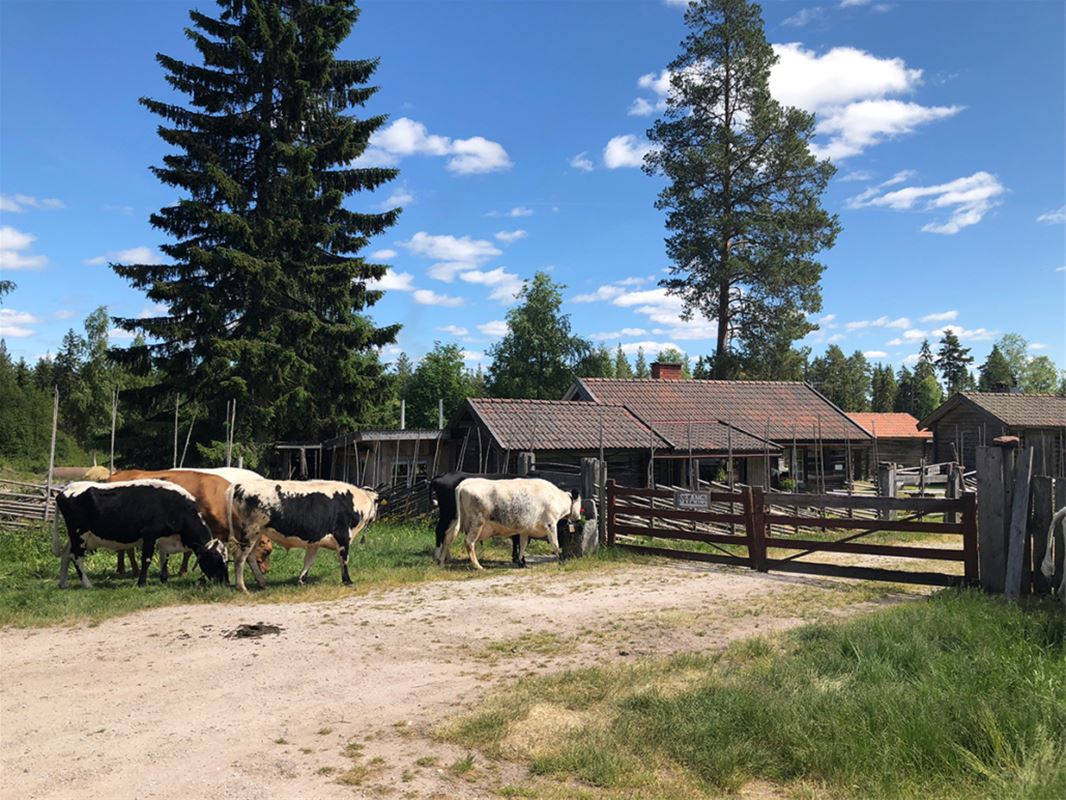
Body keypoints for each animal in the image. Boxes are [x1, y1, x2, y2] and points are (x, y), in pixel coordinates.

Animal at [50, 482, 228, 588]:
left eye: (226, 559)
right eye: (215, 559)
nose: (225, 582)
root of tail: (65, 489)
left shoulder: (163, 537)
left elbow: (165, 557)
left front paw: (164, 579)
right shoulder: (149, 534)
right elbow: (147, 559)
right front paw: (142, 583)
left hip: (78, 536)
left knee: (66, 555)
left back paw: (63, 583)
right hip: (79, 533)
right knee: (76, 557)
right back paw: (87, 584)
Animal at [108, 467, 272, 580]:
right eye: (267, 551)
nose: (266, 571)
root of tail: (117, 474)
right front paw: (184, 571)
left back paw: (123, 569)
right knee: (126, 549)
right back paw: (131, 571)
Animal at [222, 480, 381, 593]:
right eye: (377, 502)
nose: (374, 518)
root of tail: (240, 485)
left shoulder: (315, 541)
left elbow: (308, 561)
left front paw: (301, 580)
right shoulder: (343, 536)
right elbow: (344, 560)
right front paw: (347, 581)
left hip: (257, 533)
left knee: (250, 557)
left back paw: (261, 583)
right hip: (250, 532)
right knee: (240, 558)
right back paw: (242, 587)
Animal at [434, 475, 579, 571]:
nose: (578, 517)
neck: (557, 497)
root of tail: (463, 484)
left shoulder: (525, 529)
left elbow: (522, 544)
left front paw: (521, 562)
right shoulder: (550, 524)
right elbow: (555, 544)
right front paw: (561, 559)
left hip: (456, 519)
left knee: (447, 536)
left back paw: (441, 561)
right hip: (477, 523)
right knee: (469, 542)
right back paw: (478, 566)